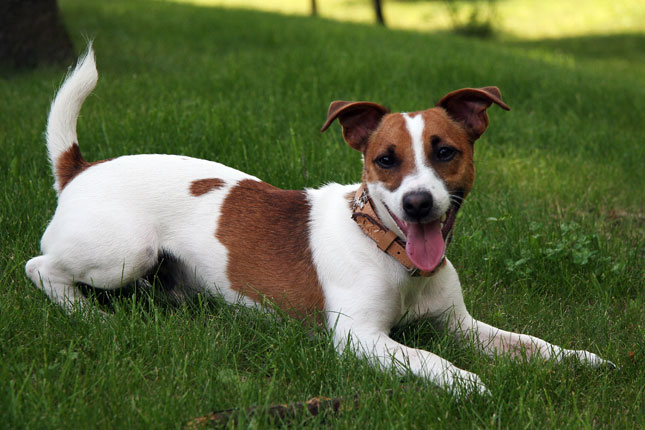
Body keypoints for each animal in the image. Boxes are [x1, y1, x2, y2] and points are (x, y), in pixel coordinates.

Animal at [25, 47, 612, 396]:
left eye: (446, 151)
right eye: (385, 159)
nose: (419, 203)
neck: (388, 249)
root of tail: (80, 169)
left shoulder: (460, 325)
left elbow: (530, 344)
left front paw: (580, 359)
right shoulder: (361, 339)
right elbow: (429, 358)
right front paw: (469, 383)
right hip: (125, 254)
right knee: (40, 267)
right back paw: (90, 315)